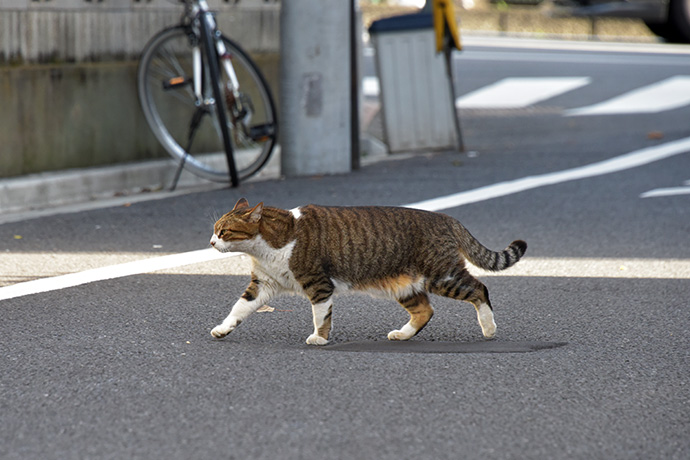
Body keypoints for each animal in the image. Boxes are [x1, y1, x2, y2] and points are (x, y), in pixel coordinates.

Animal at [207, 198, 524, 344]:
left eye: (224, 232)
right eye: (214, 230)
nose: (210, 242)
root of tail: (447, 218)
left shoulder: (318, 284)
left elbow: (321, 315)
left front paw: (320, 338)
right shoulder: (263, 284)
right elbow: (239, 308)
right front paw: (223, 328)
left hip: (443, 275)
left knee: (480, 289)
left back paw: (489, 328)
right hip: (405, 285)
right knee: (425, 310)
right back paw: (402, 334)